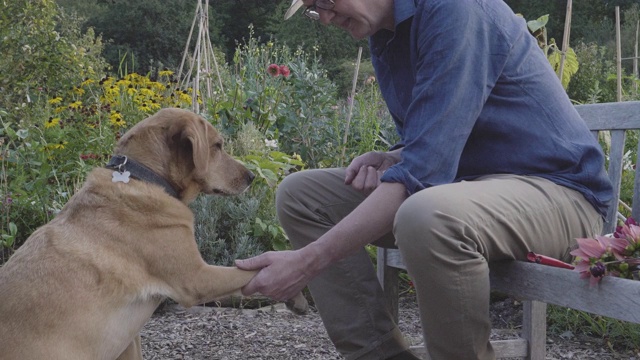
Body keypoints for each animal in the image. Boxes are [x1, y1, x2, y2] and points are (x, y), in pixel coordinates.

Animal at [0, 108, 262, 360]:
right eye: (217, 146)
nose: (252, 177)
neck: (144, 178)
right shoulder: (198, 278)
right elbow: (249, 272)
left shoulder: (128, 340)